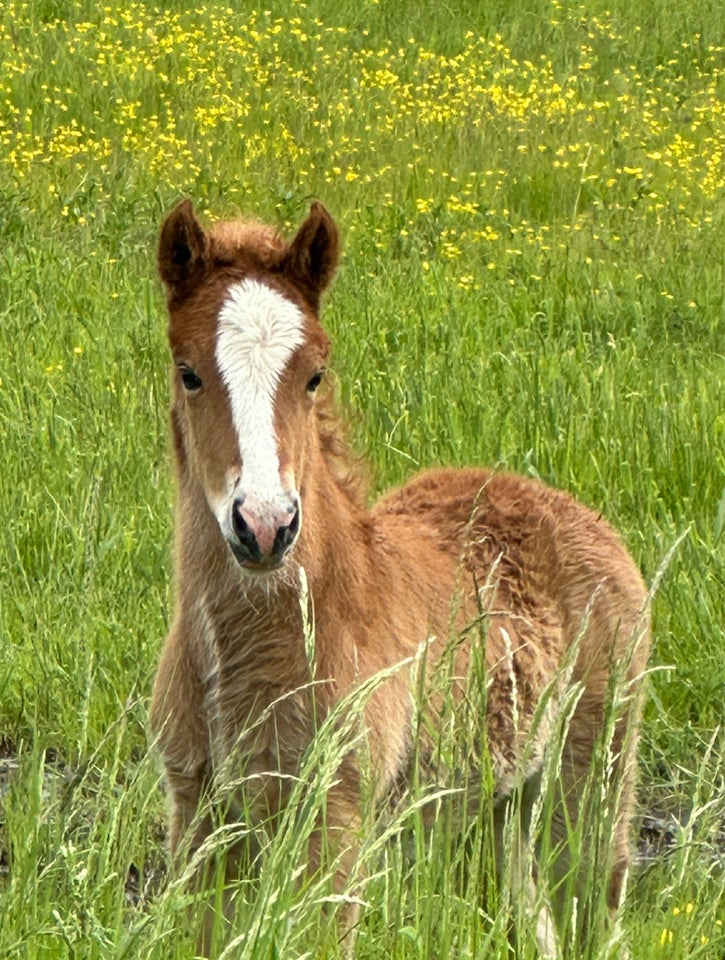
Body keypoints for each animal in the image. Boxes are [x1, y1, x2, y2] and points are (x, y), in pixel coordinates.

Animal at [150, 199, 648, 956]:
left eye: (313, 376)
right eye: (189, 372)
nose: (263, 525)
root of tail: (574, 512)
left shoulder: (335, 821)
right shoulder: (198, 811)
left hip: (591, 786)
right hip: (492, 807)